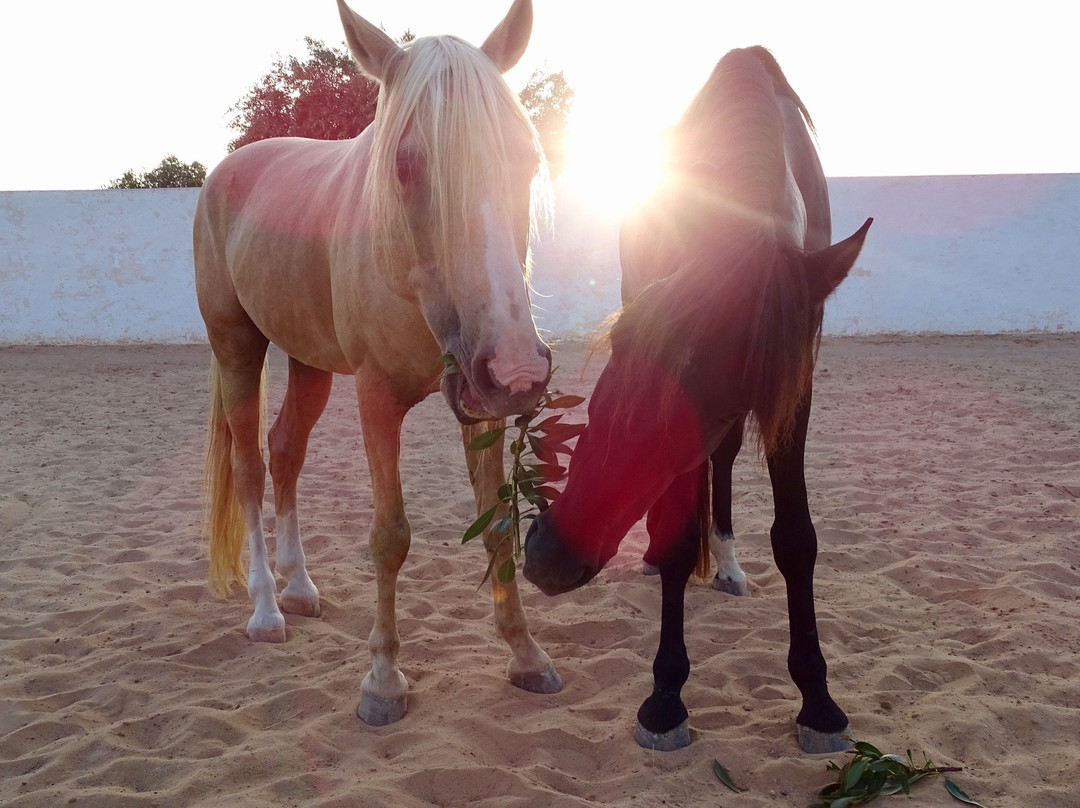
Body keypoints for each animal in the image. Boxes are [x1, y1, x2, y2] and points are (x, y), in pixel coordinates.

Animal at [196, 0, 565, 730]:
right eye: (404, 165)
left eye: (529, 158)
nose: (518, 371)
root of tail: (226, 171)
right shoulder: (375, 398)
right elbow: (389, 537)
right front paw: (383, 680)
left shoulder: (478, 407)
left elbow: (498, 524)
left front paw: (525, 653)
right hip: (237, 349)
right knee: (251, 468)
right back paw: (267, 608)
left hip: (308, 362)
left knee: (285, 452)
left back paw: (301, 587)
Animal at [520, 47, 868, 756]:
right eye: (622, 339)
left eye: (721, 383)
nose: (548, 556)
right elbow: (678, 537)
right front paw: (665, 698)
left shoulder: (791, 385)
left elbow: (796, 537)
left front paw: (818, 701)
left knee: (725, 461)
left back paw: (728, 563)